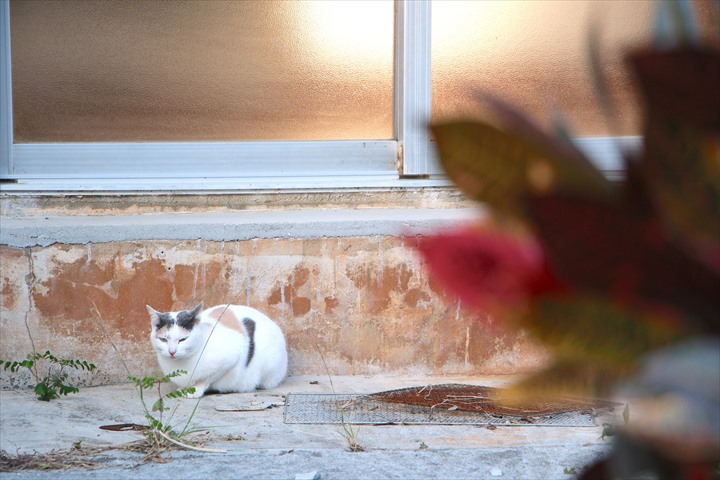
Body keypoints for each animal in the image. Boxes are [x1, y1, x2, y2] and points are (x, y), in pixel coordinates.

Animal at [146, 302, 286, 400]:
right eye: (163, 339)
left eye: (182, 339)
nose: (172, 351)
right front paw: (181, 389)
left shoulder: (230, 358)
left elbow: (206, 378)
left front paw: (195, 390)